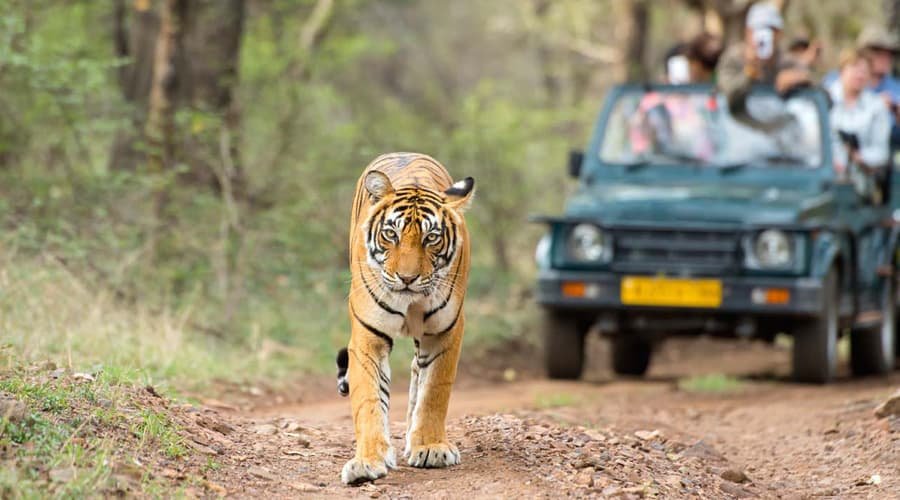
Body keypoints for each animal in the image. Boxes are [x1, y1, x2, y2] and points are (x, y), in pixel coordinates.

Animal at [338, 152, 478, 484]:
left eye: (431, 238)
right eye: (391, 234)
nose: (407, 278)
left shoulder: (445, 332)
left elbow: (434, 391)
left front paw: (430, 447)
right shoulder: (368, 335)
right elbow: (369, 399)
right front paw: (367, 461)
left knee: (418, 373)